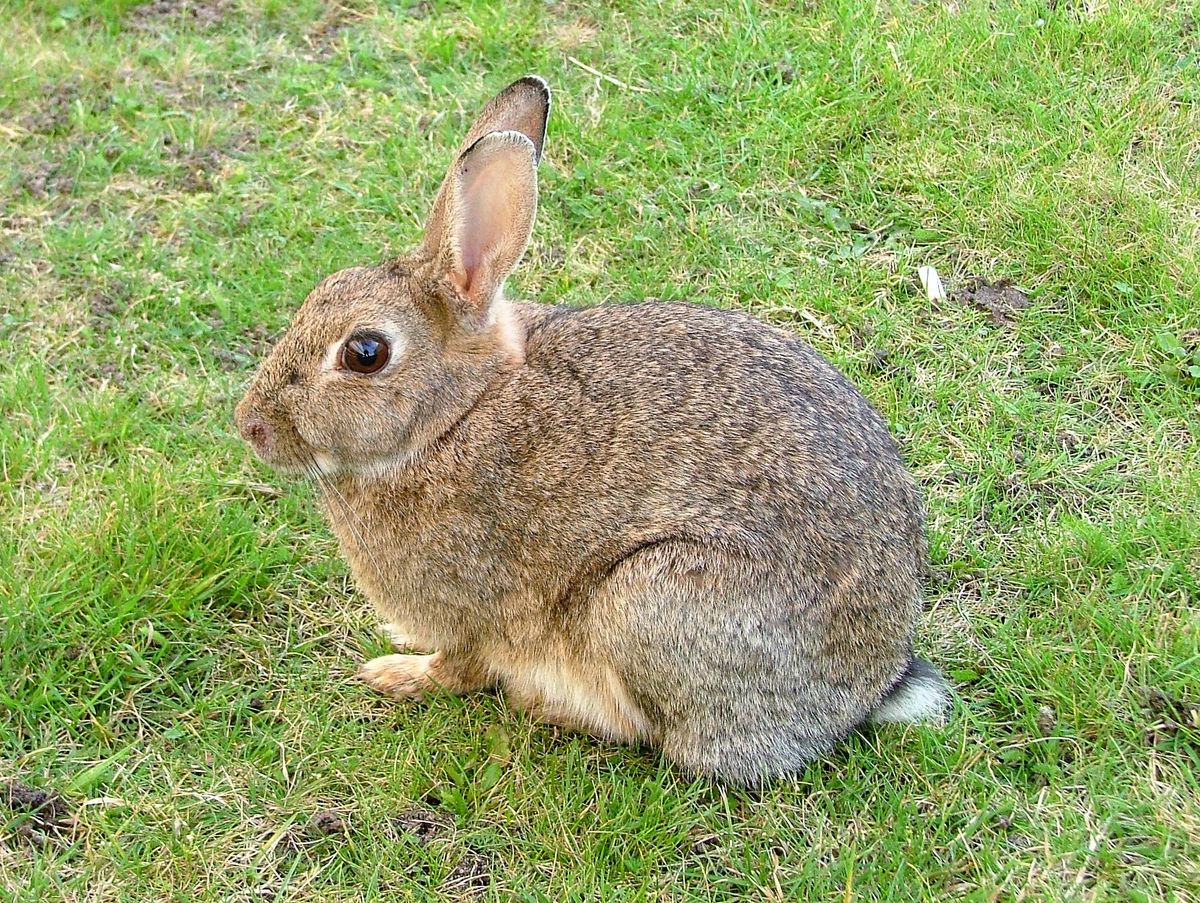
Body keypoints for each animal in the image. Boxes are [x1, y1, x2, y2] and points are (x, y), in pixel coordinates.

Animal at [231, 75, 945, 782]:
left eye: (365, 353)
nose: (250, 426)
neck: (454, 416)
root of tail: (872, 685)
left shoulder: (472, 613)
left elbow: (460, 668)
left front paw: (396, 674)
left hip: (649, 605)